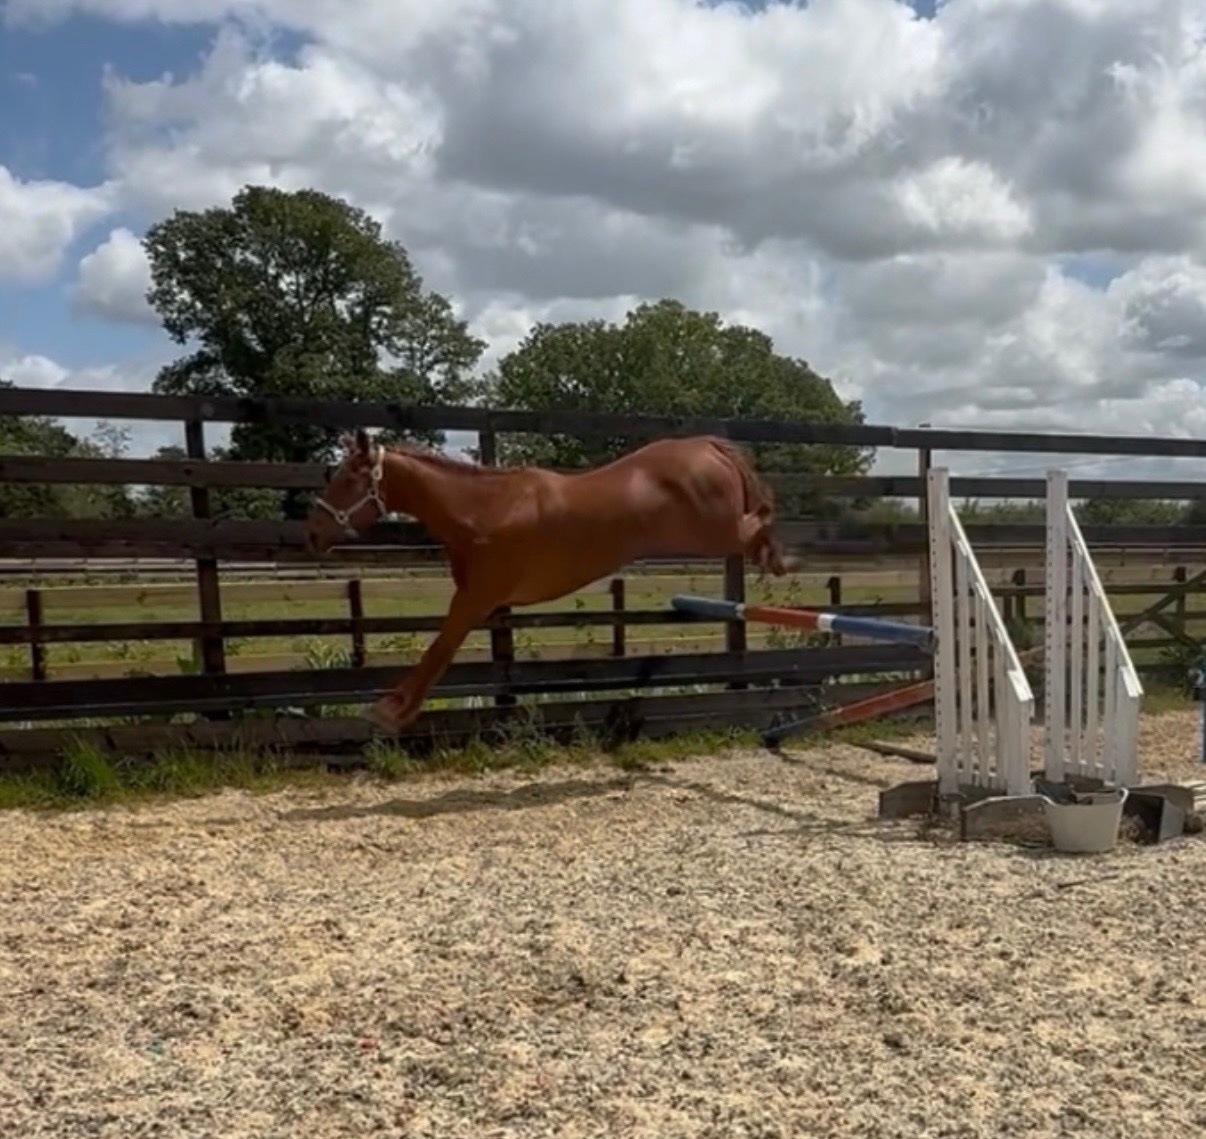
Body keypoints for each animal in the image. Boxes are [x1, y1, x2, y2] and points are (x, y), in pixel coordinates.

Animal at [304, 427, 796, 733]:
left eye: (347, 479)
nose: (312, 533)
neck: (483, 509)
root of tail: (708, 446)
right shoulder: (483, 601)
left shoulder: (476, 596)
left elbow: (439, 649)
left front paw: (388, 712)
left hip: (713, 530)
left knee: (756, 520)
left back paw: (777, 554)